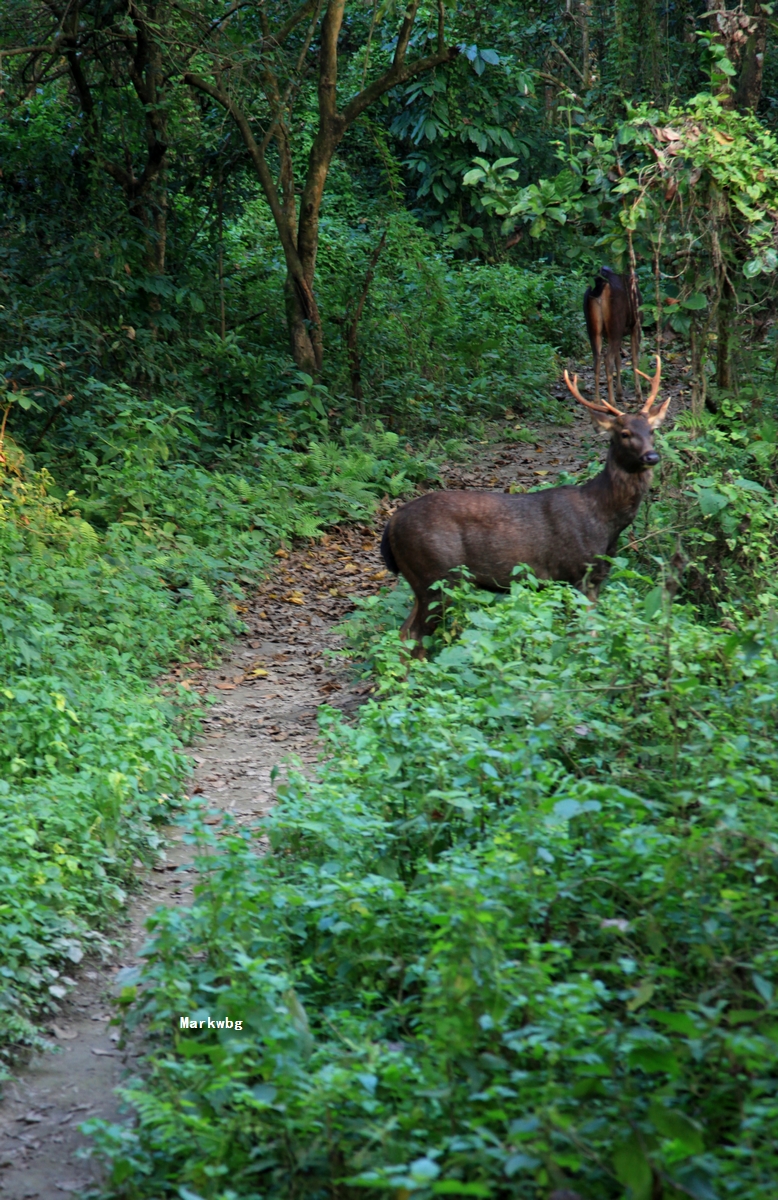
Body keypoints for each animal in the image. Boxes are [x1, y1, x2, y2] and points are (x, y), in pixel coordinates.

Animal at [381, 355, 667, 657]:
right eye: (624, 433)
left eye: (652, 431)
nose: (651, 456)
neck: (604, 519)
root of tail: (391, 524)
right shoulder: (575, 572)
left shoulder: (596, 579)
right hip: (437, 575)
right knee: (412, 635)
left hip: (425, 581)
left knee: (405, 633)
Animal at [585, 265, 643, 410]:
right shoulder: (636, 326)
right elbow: (634, 359)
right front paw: (638, 395)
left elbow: (619, 360)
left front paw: (620, 394)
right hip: (616, 324)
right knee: (607, 359)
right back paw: (611, 402)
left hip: (593, 328)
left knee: (597, 358)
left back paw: (597, 400)